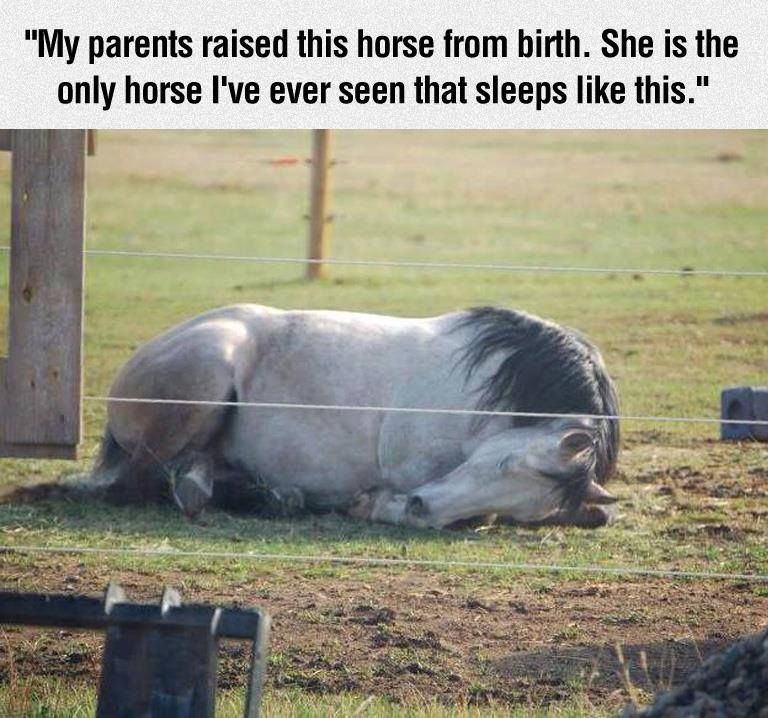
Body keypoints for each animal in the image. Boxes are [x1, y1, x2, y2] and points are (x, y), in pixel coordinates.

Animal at [92, 304, 620, 528]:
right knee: (135, 485)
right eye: (503, 463)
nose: (420, 506)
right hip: (204, 378)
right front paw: (382, 506)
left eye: (524, 506)